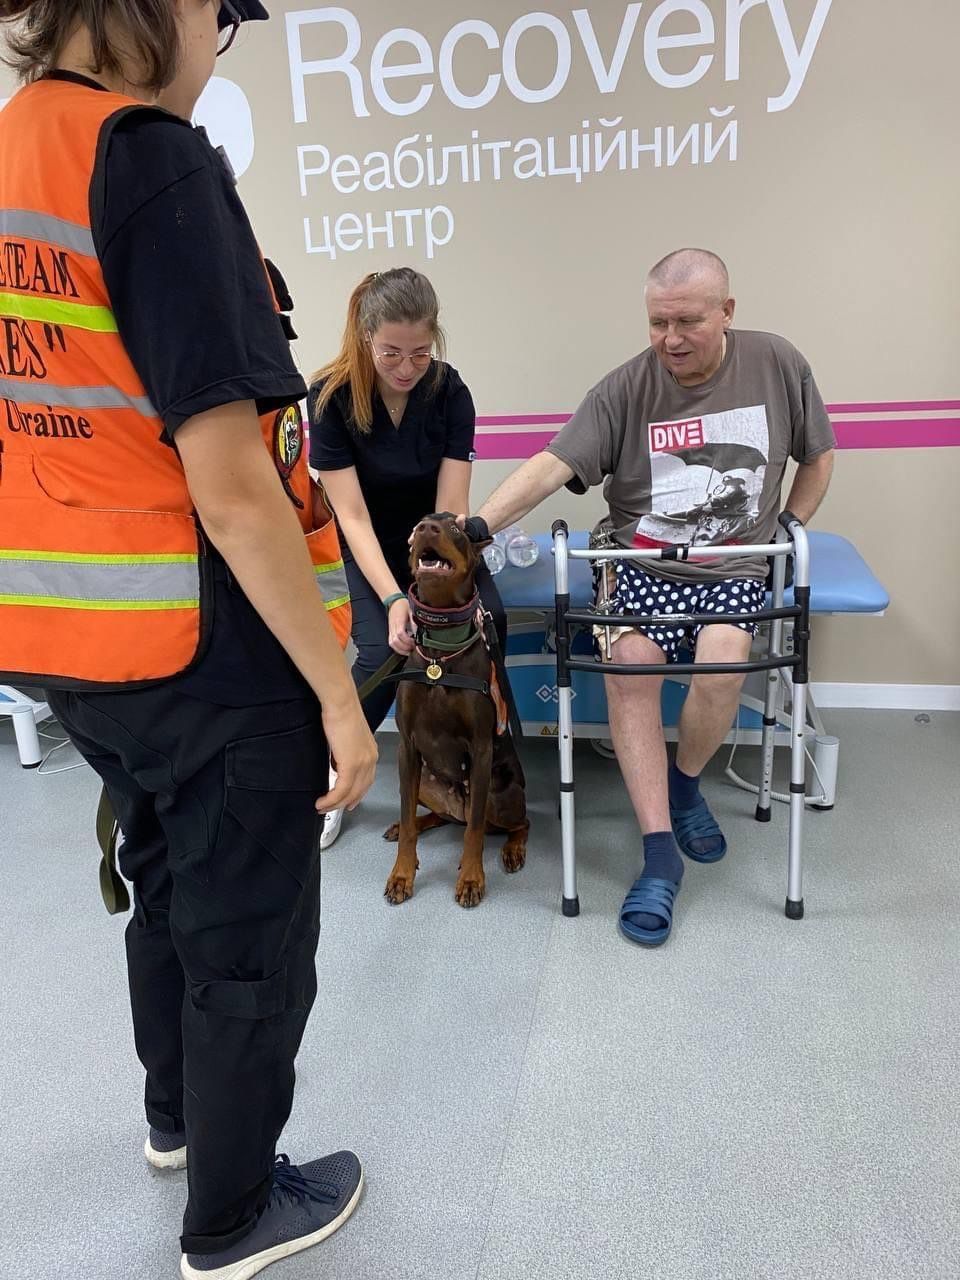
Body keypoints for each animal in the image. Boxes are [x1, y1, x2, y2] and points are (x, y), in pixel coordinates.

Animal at [384, 514, 528, 908]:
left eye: (456, 530)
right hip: (424, 780)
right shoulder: (407, 747)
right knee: (434, 816)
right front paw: (401, 874)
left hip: (501, 793)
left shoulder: (480, 749)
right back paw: (404, 825)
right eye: (418, 525)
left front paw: (471, 879)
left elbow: (475, 831)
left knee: (515, 823)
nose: (424, 530)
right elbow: (405, 812)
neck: (440, 651)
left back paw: (513, 850)